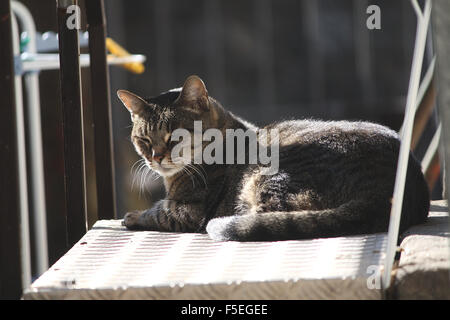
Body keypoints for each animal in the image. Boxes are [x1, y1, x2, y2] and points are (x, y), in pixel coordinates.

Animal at [117, 75, 428, 240]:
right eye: (144, 140)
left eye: (175, 137)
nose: (155, 158)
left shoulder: (189, 210)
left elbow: (158, 211)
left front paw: (132, 216)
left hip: (269, 178)